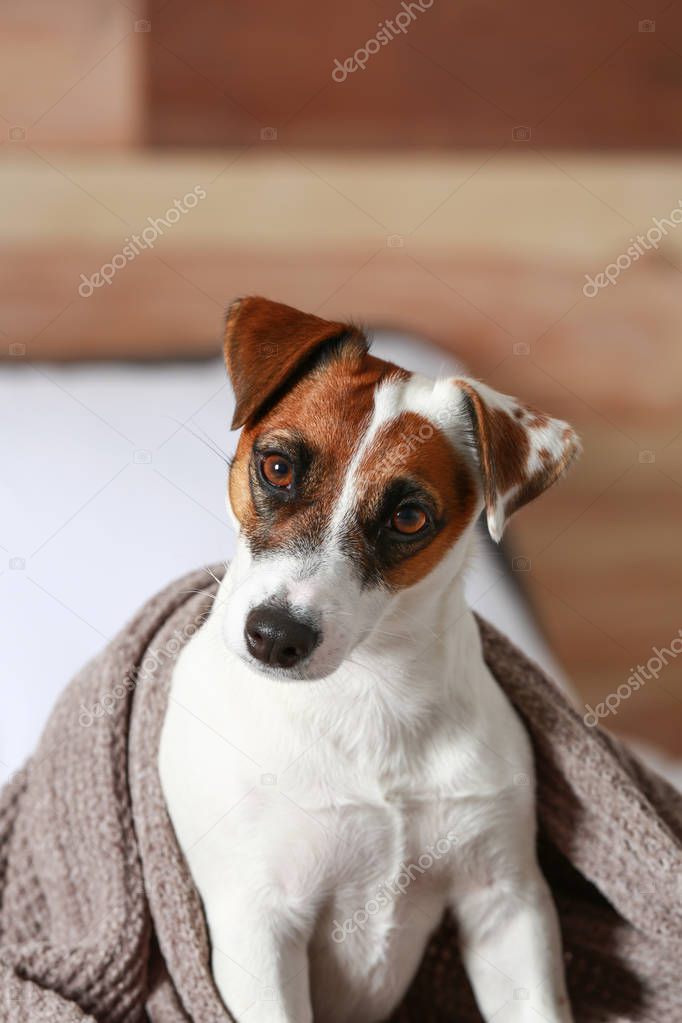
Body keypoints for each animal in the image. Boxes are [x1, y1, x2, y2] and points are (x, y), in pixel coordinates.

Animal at [158, 298, 576, 1023]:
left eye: (409, 517)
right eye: (276, 467)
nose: (275, 635)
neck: (367, 695)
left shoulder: (505, 903)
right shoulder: (257, 928)